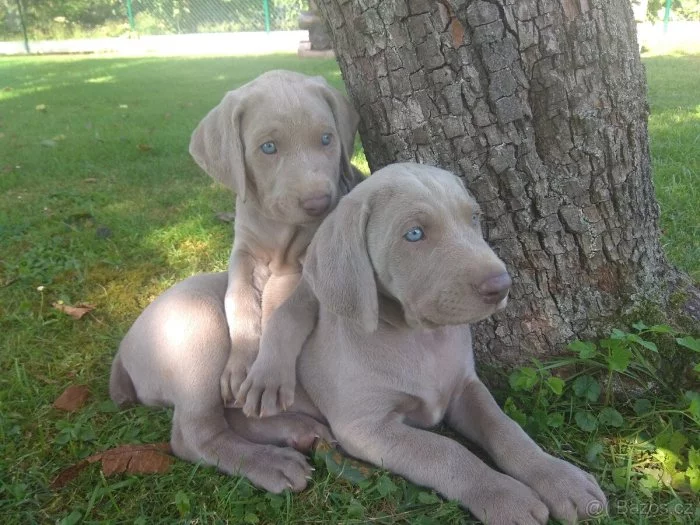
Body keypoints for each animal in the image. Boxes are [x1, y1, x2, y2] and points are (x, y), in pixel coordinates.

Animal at [237, 163, 607, 524]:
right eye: (414, 233)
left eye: (474, 217)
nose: (501, 285)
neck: (421, 339)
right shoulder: (365, 427)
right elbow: (446, 452)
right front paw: (504, 496)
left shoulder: (466, 388)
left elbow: (505, 427)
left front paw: (559, 478)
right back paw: (271, 463)